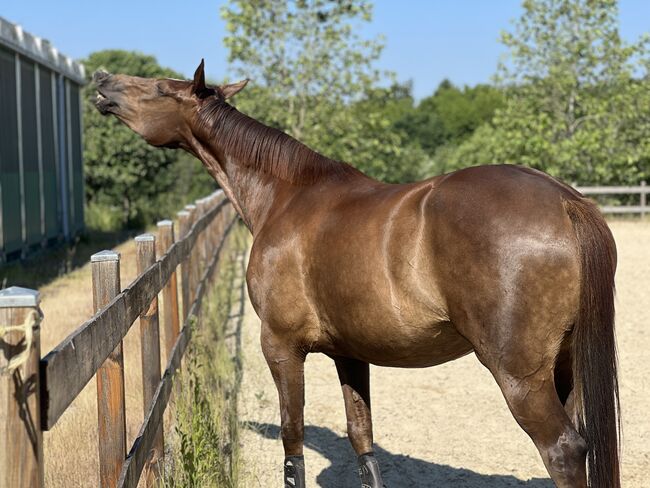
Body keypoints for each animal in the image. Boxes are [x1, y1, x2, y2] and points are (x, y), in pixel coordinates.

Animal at [92, 62, 616, 488]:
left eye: (160, 87)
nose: (101, 79)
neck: (287, 196)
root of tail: (565, 201)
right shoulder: (351, 352)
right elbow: (362, 438)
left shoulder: (280, 346)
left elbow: (293, 440)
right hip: (563, 367)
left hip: (520, 377)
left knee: (563, 451)